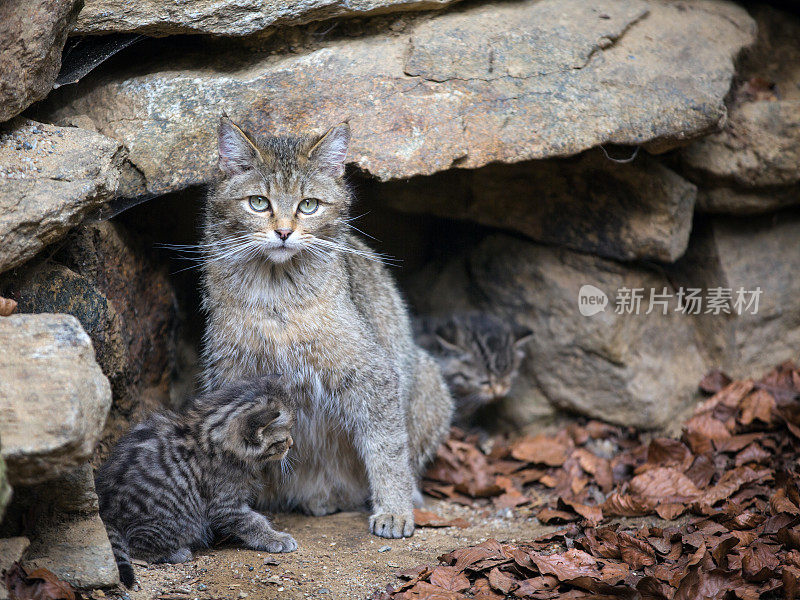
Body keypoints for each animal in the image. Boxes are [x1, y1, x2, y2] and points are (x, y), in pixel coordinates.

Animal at [96, 376, 296, 584]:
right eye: (282, 439)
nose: (291, 444)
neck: (207, 435)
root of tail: (108, 512)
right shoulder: (225, 504)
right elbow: (252, 521)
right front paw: (275, 538)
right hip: (176, 520)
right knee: (137, 547)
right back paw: (173, 553)